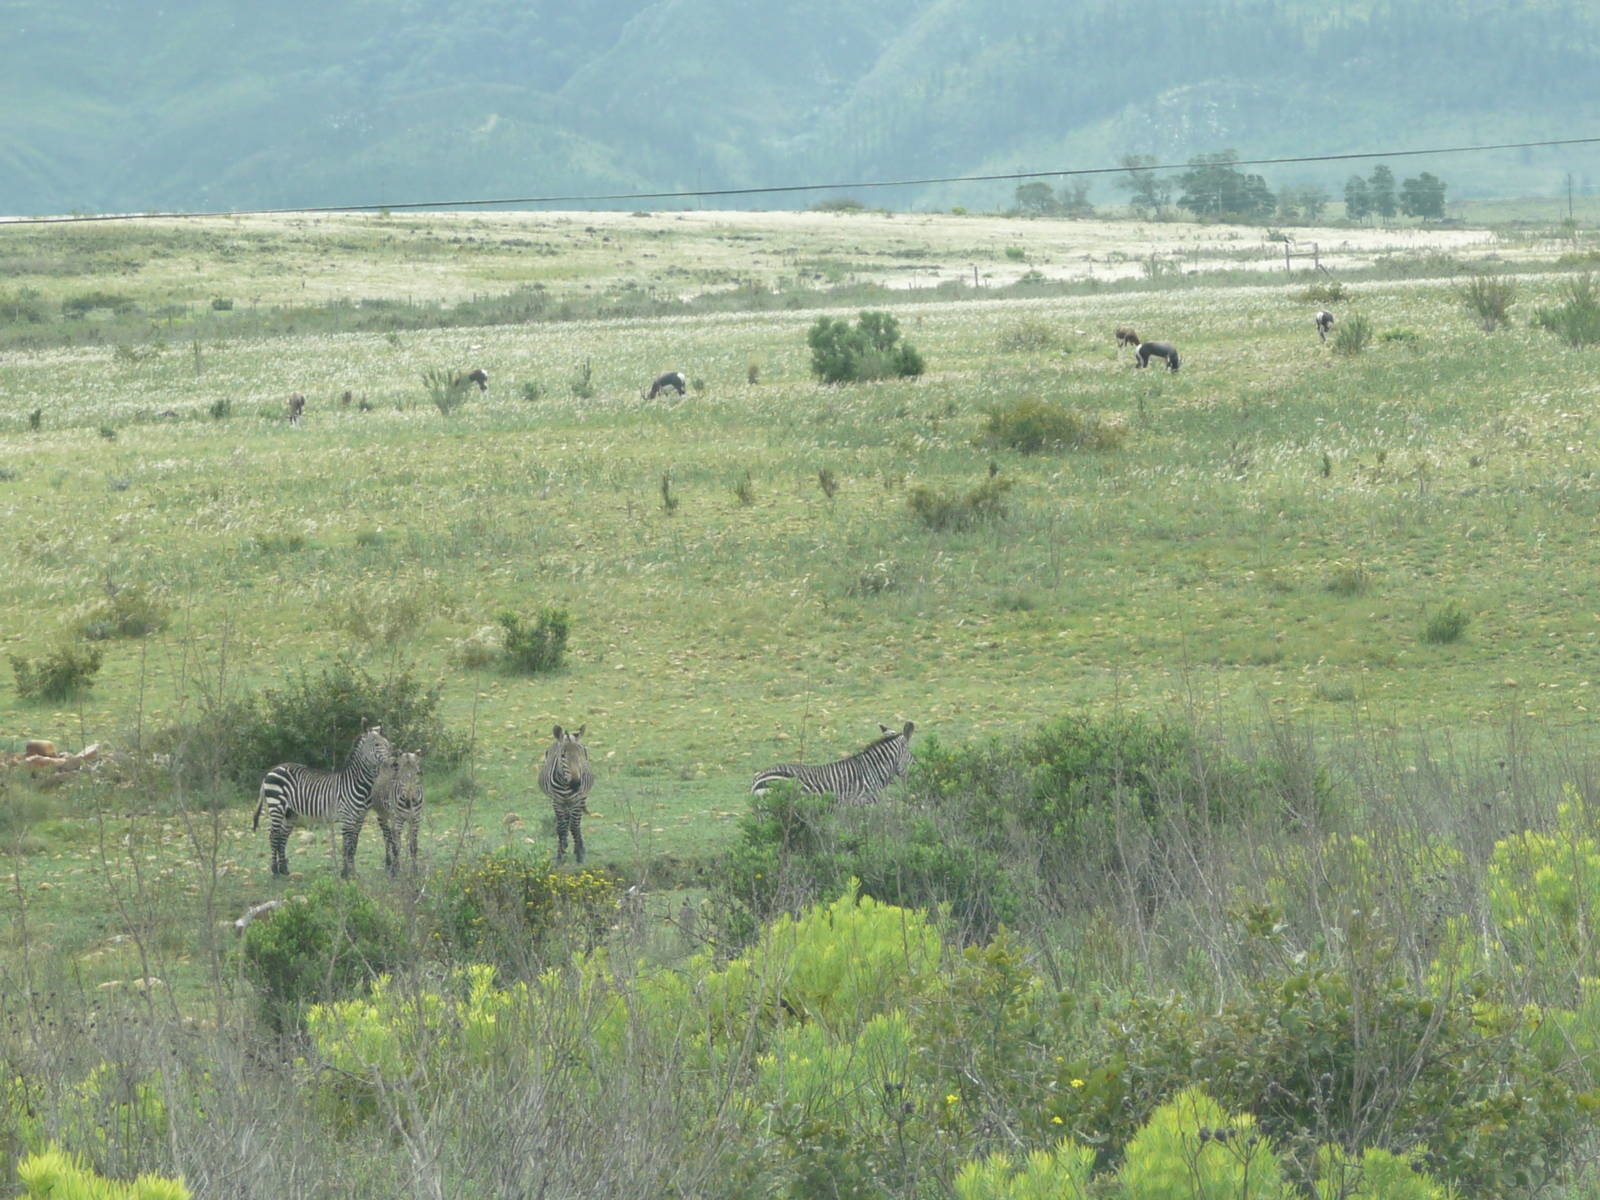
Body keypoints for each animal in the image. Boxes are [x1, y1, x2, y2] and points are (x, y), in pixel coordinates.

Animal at [252, 725, 393, 877]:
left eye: (388, 745)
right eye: (377, 744)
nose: (392, 763)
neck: (358, 783)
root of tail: (272, 770)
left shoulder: (360, 817)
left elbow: (354, 844)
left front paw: (353, 872)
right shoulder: (347, 817)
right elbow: (347, 845)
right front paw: (345, 873)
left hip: (290, 813)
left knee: (282, 837)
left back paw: (284, 869)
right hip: (276, 806)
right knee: (273, 836)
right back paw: (275, 871)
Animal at [539, 725, 595, 864]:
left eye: (580, 755)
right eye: (563, 755)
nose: (576, 784)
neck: (565, 785)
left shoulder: (577, 800)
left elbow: (575, 826)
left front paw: (580, 855)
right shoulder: (557, 801)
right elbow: (561, 827)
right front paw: (560, 856)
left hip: (580, 799)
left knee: (576, 823)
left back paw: (579, 846)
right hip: (565, 802)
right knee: (566, 821)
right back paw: (565, 844)